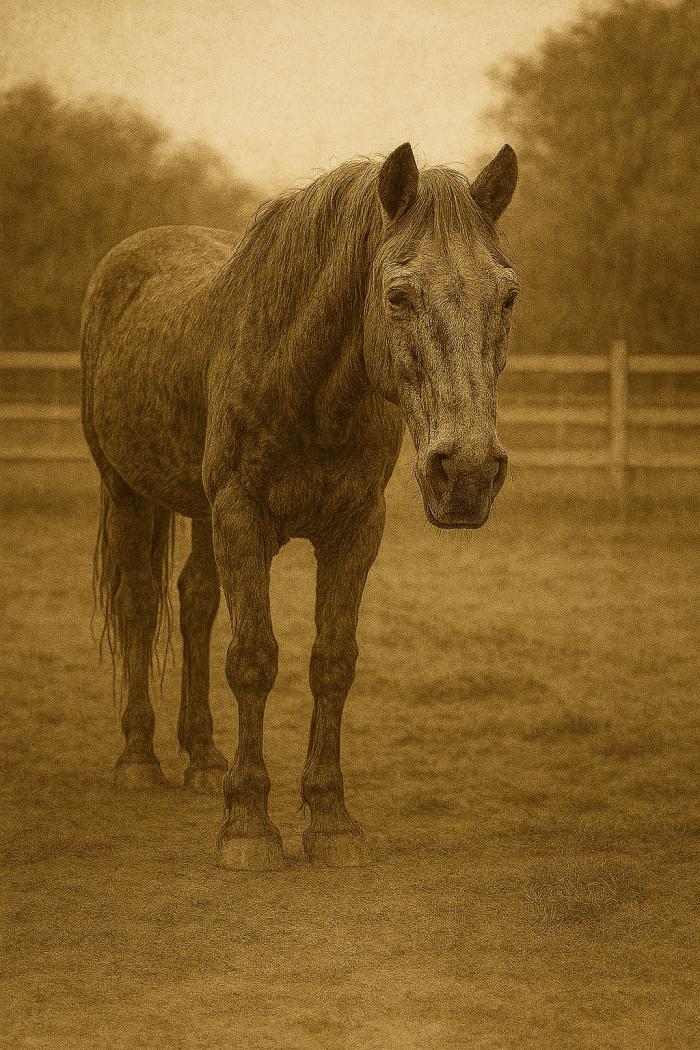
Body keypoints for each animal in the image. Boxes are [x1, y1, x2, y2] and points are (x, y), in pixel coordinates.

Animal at [80, 141, 518, 870]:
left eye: (507, 295)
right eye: (398, 294)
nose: (467, 473)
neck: (310, 390)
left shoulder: (354, 530)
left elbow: (332, 662)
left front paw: (330, 820)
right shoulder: (241, 519)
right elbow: (254, 659)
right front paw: (248, 826)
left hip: (198, 513)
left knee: (195, 604)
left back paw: (203, 760)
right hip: (126, 492)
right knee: (142, 606)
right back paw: (139, 759)